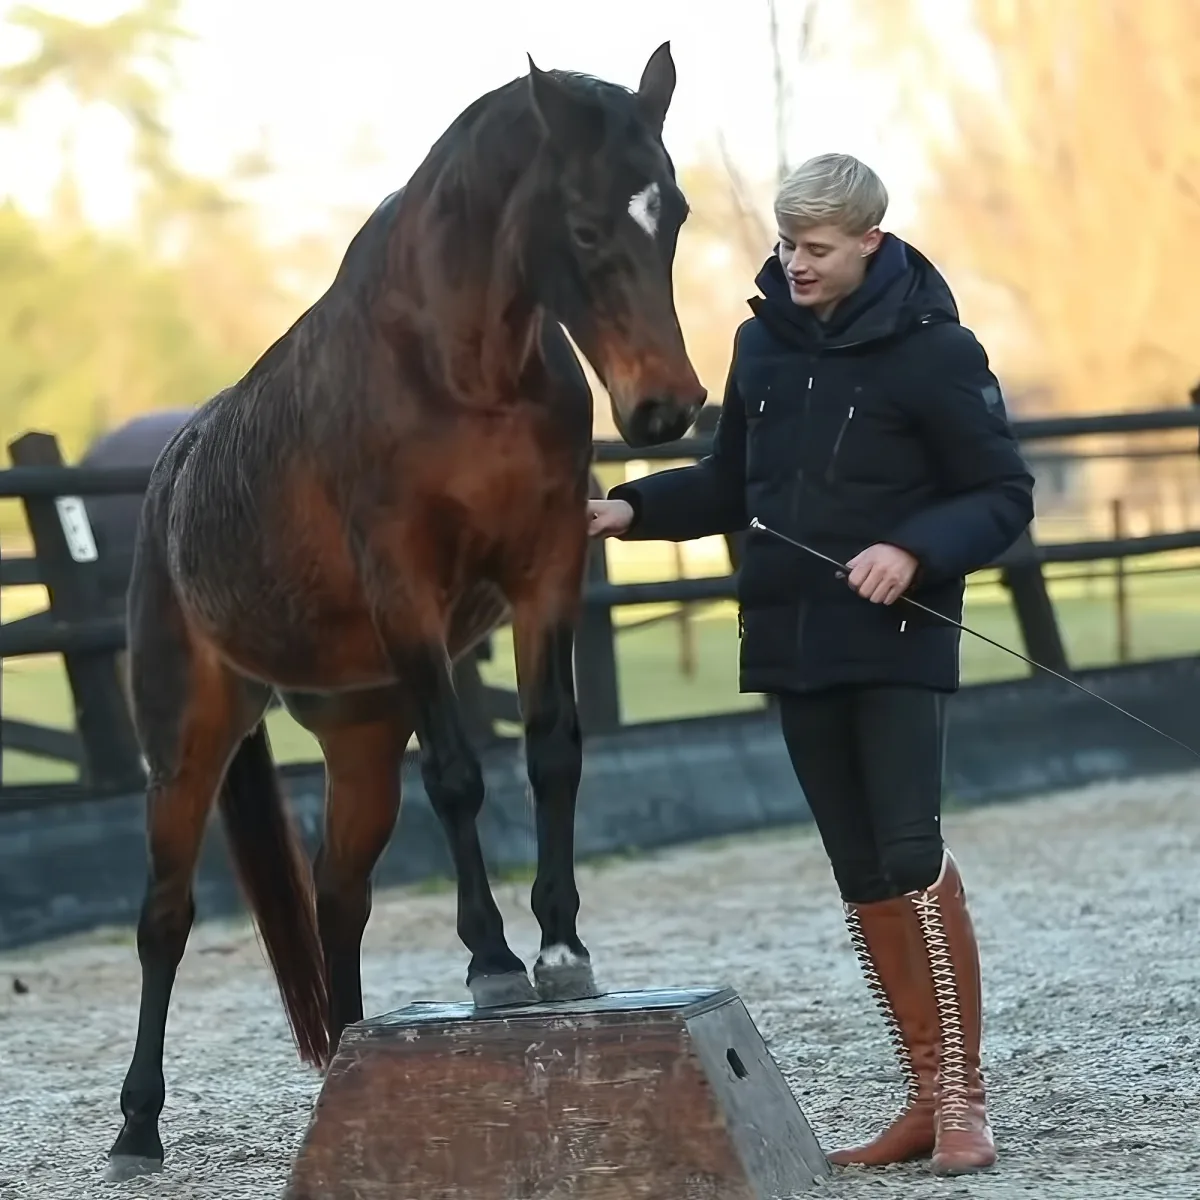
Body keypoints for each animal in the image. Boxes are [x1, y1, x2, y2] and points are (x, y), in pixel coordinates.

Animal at [105, 42, 705, 1181]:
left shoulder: (549, 573)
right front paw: (494, 963)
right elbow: (462, 776)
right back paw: (135, 1127)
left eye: (676, 213)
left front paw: (562, 948)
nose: (668, 409)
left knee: (338, 897)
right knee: (164, 918)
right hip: (189, 741)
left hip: (359, 736)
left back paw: (349, 1057)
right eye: (586, 225)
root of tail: (171, 474)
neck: (458, 369)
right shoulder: (408, 594)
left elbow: (554, 750)